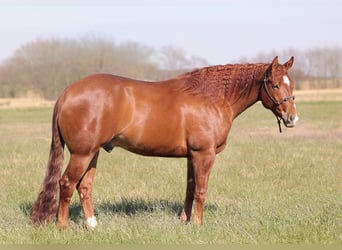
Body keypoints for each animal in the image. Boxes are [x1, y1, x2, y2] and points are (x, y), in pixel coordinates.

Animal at [32, 56, 300, 229]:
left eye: (292, 84)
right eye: (274, 84)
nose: (292, 118)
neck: (211, 97)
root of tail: (67, 93)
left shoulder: (193, 155)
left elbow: (190, 188)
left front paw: (185, 221)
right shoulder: (204, 154)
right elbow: (201, 190)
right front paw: (198, 225)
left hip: (92, 153)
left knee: (84, 186)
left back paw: (92, 225)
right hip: (82, 153)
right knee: (66, 183)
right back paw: (62, 226)